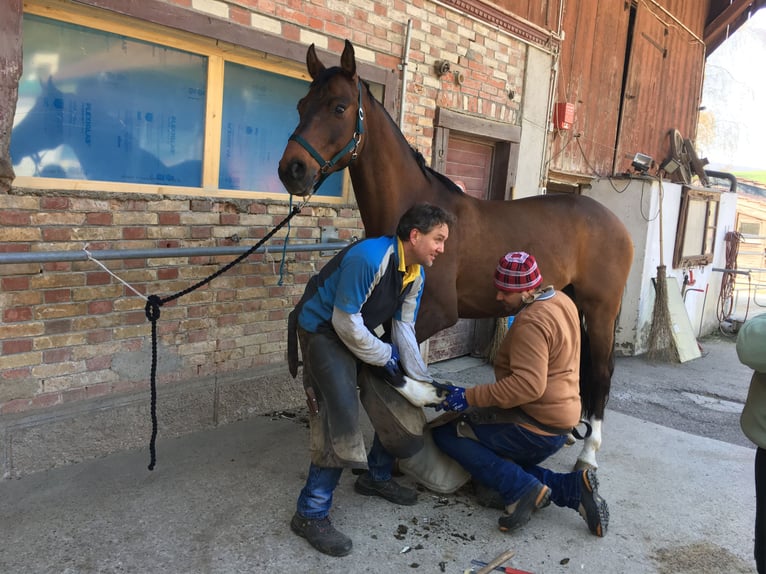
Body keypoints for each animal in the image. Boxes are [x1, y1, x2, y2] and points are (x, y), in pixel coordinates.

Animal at [278, 40, 636, 472]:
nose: (292, 169)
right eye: (301, 105)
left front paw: (430, 397)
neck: (415, 212)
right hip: (572, 301)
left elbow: (385, 360)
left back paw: (588, 453)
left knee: (601, 371)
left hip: (601, 309)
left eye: (339, 107)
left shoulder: (435, 313)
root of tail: (613, 221)